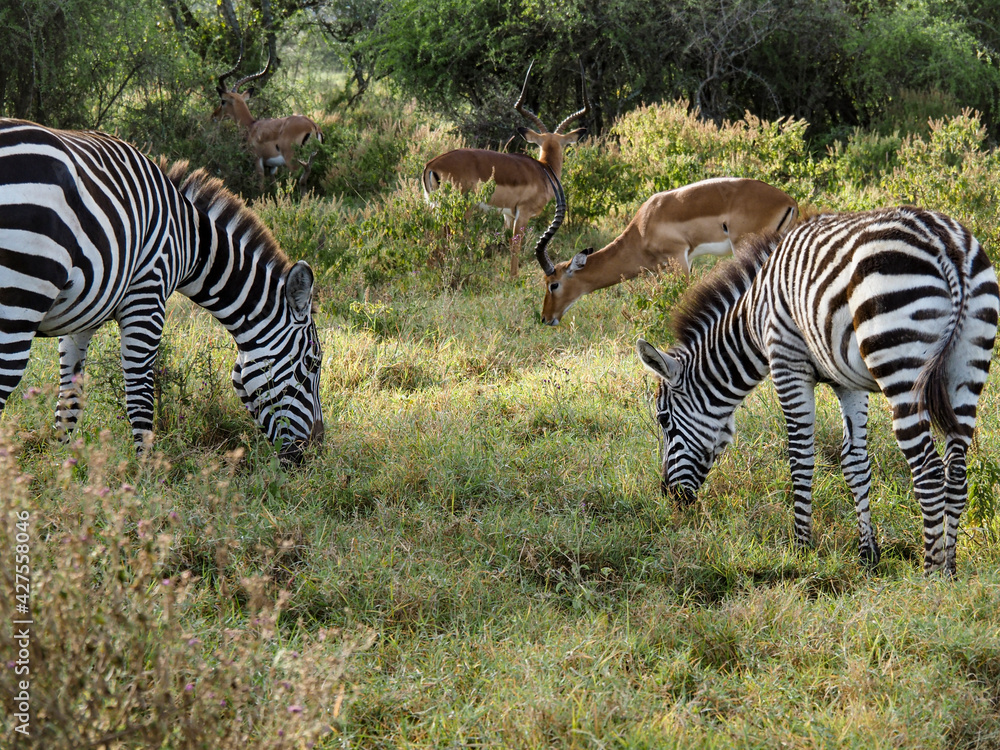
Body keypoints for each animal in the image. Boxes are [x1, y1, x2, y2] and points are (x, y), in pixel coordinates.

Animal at [0, 119, 324, 463]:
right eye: (312, 364)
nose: (315, 450)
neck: (192, 241)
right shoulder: (147, 297)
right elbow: (141, 397)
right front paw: (145, 471)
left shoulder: (84, 315)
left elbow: (70, 402)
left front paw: (62, 468)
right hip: (20, 302)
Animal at [636, 206, 998, 575]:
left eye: (664, 420)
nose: (669, 495)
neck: (753, 317)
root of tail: (942, 241)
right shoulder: (847, 382)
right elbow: (854, 462)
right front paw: (868, 554)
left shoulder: (787, 363)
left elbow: (800, 458)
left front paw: (801, 547)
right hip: (967, 363)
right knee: (956, 470)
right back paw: (950, 569)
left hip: (899, 360)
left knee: (928, 470)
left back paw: (931, 573)